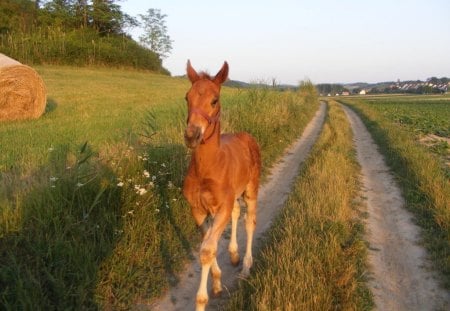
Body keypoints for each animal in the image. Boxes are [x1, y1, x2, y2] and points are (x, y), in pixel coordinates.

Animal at [182, 61, 262, 311]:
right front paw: (217, 282)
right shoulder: (198, 210)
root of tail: (247, 136)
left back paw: (246, 265)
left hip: (251, 189)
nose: (192, 135)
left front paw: (202, 300)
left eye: (214, 100)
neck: (207, 170)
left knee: (249, 220)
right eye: (187, 97)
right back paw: (235, 255)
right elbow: (208, 242)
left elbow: (207, 249)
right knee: (237, 212)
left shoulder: (221, 209)